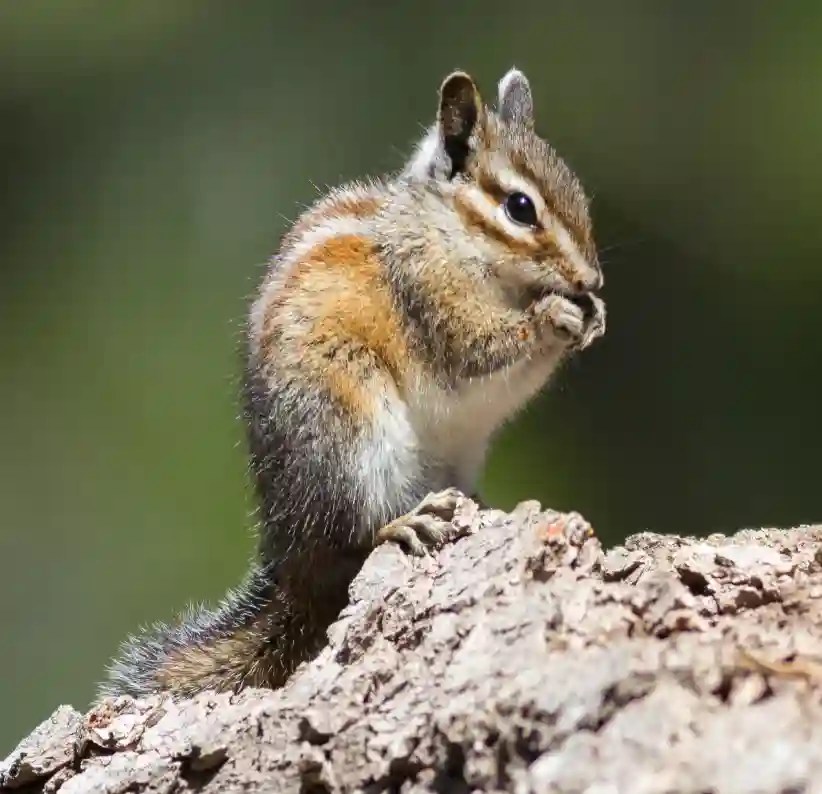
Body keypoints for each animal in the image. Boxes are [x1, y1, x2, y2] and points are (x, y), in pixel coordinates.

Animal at [100, 67, 606, 699]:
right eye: (519, 207)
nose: (592, 279)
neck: (448, 232)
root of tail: (292, 560)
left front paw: (594, 315)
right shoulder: (428, 294)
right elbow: (477, 350)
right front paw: (555, 316)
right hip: (348, 430)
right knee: (351, 540)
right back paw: (401, 524)